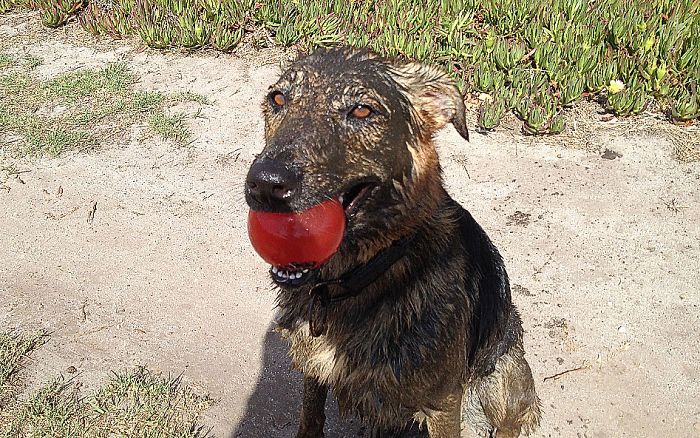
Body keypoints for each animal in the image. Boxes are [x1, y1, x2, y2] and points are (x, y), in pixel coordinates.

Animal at [245, 46, 540, 436]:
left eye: (362, 110)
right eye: (278, 99)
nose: (265, 184)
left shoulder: (443, 401)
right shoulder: (313, 367)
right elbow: (311, 413)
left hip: (501, 374)